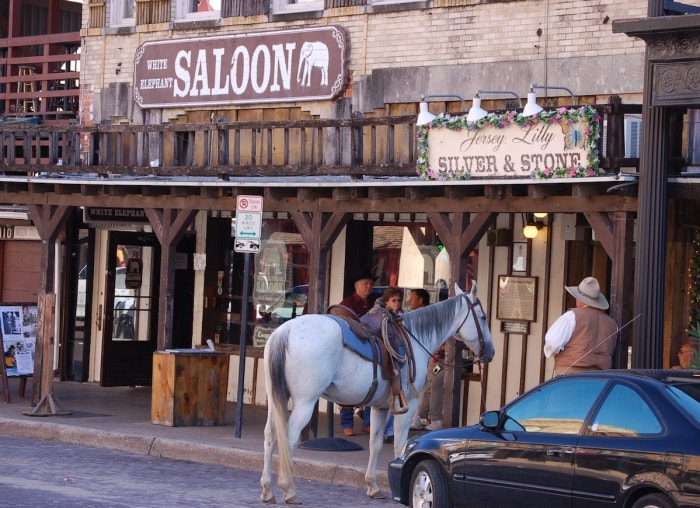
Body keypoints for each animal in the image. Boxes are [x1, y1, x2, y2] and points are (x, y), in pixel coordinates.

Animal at [260, 284, 494, 502]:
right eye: (482, 317)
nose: (490, 352)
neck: (416, 337)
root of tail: (285, 331)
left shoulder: (379, 407)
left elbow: (376, 444)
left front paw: (373, 486)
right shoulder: (408, 405)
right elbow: (401, 445)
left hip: (277, 397)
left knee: (271, 434)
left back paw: (267, 489)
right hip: (305, 402)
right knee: (289, 436)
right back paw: (289, 489)